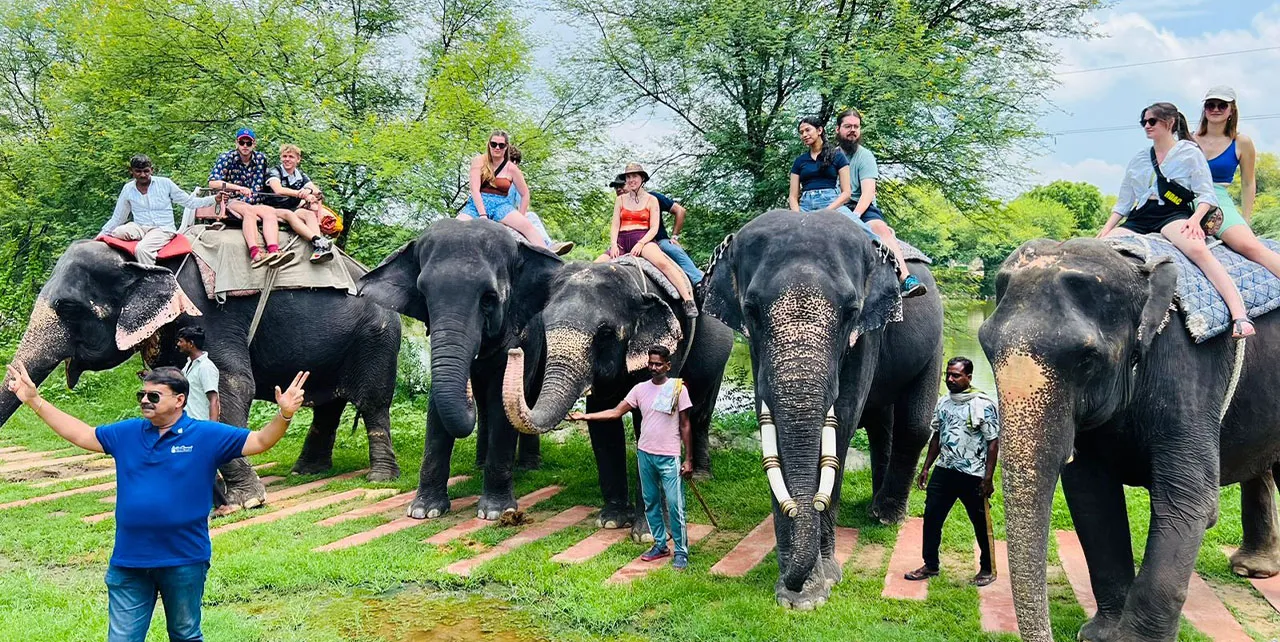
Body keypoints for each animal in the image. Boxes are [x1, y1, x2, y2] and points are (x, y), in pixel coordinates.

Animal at [0, 237, 399, 508]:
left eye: (68, 308)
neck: (147, 259)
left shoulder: (210, 315)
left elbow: (231, 385)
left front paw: (246, 502)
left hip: (377, 338)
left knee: (373, 402)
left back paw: (379, 478)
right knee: (327, 406)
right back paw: (306, 471)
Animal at [358, 218, 563, 519]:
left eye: (488, 298)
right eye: (423, 295)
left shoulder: (522, 334)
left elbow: (503, 401)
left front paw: (495, 512)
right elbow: (437, 405)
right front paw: (424, 511)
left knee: (527, 395)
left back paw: (528, 466)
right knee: (486, 406)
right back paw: (480, 463)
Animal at [504, 255, 737, 532]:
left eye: (605, 333)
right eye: (545, 327)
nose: (514, 352)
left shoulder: (670, 347)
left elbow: (645, 425)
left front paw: (647, 533)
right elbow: (603, 422)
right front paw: (612, 521)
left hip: (719, 359)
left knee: (700, 413)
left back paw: (700, 476)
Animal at [696, 212, 947, 611]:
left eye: (851, 312)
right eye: (750, 311)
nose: (796, 583)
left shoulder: (867, 333)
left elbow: (842, 422)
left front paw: (816, 587)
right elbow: (774, 427)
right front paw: (796, 592)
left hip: (933, 337)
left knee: (914, 425)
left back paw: (885, 517)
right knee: (882, 425)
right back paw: (874, 508)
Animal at [972, 237, 1280, 642]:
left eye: (1087, 359)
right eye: (986, 348)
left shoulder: (1190, 370)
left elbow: (1188, 500)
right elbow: (1090, 494)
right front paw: (1099, 636)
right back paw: (1251, 569)